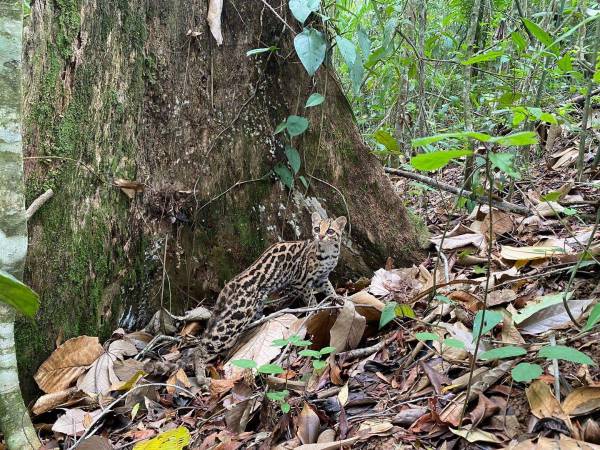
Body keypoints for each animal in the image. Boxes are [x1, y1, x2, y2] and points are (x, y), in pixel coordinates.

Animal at [196, 213, 346, 382]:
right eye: (317, 228)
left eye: (330, 231)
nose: (320, 236)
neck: (328, 253)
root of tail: (231, 284)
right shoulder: (299, 281)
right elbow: (311, 299)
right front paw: (315, 310)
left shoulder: (322, 278)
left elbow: (330, 289)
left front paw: (337, 298)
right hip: (236, 318)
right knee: (203, 346)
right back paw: (200, 374)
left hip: (255, 310)